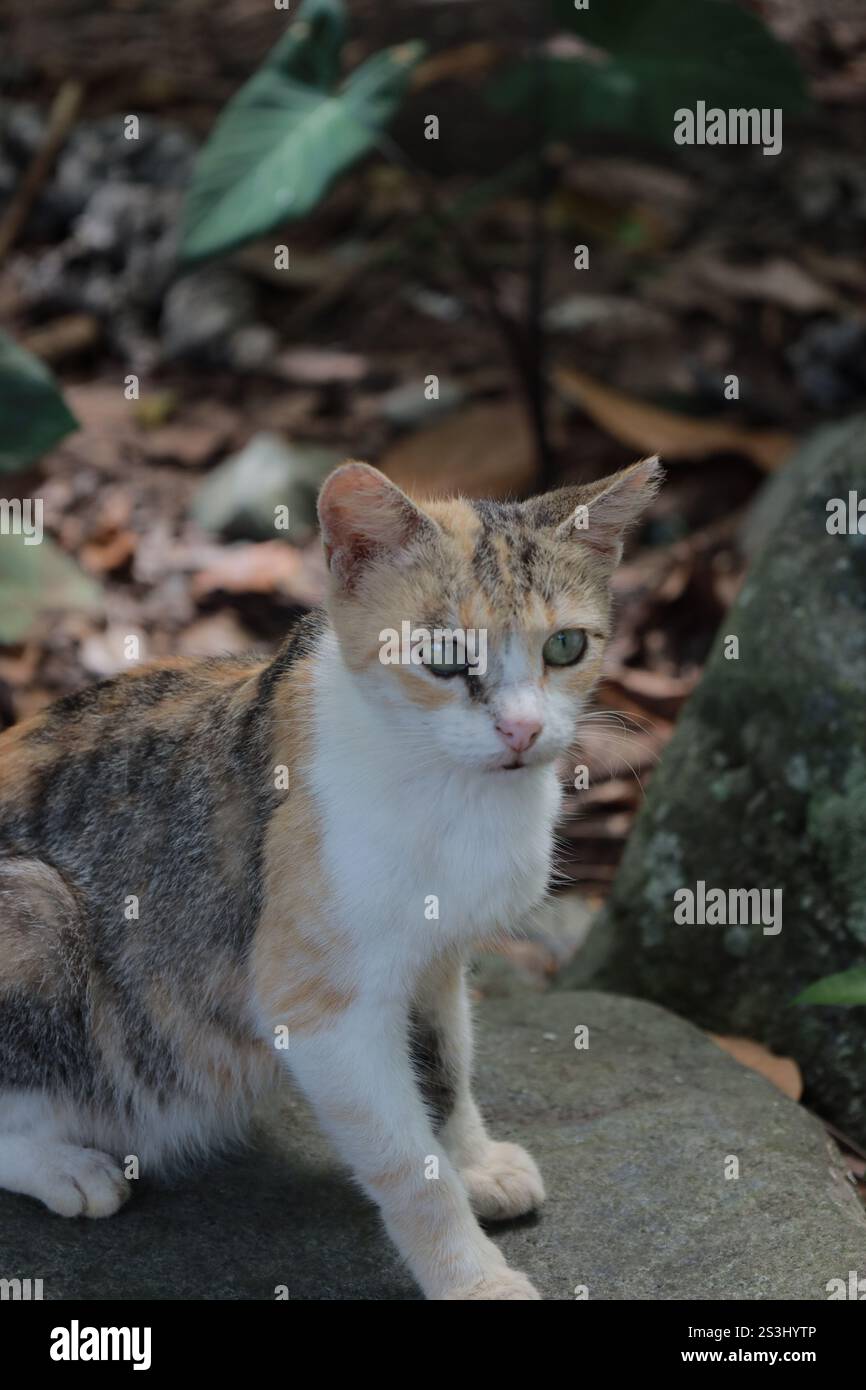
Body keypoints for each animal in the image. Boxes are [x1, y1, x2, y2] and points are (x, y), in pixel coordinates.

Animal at [0, 455, 661, 1301]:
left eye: (567, 647)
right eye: (444, 657)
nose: (522, 729)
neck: (451, 792)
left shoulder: (436, 961)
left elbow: (446, 1070)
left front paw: (475, 1164)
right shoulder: (318, 1007)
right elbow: (408, 1166)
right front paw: (472, 1278)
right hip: (37, 909)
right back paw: (66, 1166)